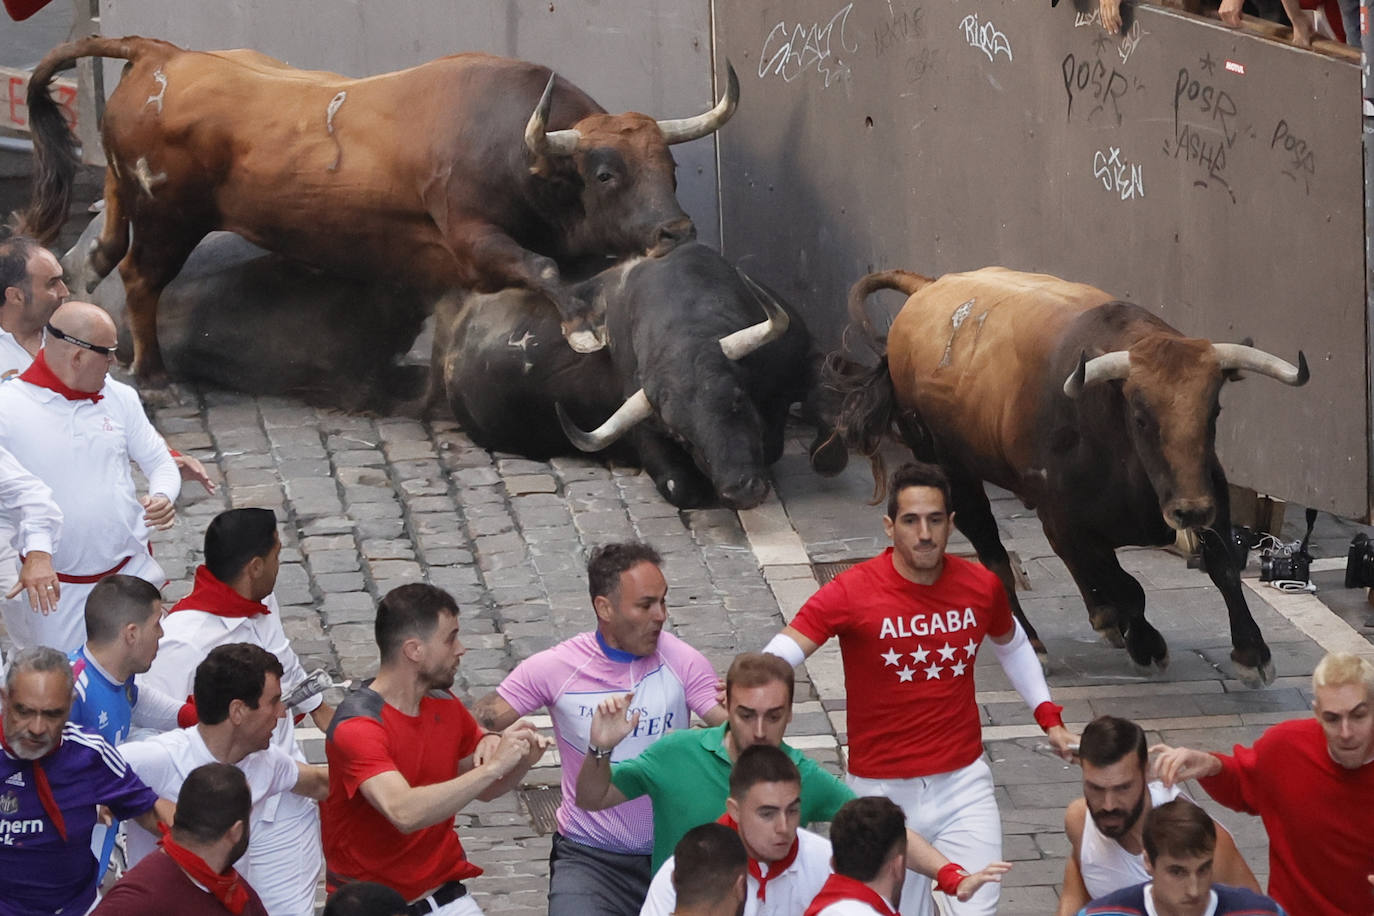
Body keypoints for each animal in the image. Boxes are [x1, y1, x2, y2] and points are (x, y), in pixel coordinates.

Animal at [436, 241, 846, 508]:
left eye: (736, 400)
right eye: (680, 435)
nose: (740, 489)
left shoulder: (803, 357)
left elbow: (828, 402)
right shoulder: (645, 431)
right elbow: (679, 486)